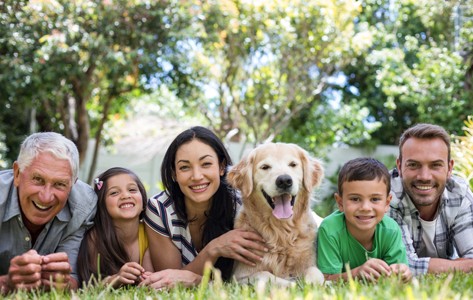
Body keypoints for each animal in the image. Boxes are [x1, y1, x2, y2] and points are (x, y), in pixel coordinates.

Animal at [226, 143, 324, 286]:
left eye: (293, 164)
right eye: (265, 167)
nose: (284, 180)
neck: (281, 232)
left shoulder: (309, 261)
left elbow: (315, 273)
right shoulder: (239, 277)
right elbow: (265, 275)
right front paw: (292, 284)